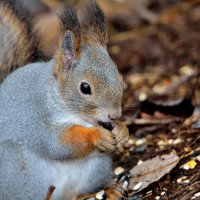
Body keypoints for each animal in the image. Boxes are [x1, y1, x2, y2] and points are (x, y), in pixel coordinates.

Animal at [0, 0, 128, 199]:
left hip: (96, 168)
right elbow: (58, 142)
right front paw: (97, 136)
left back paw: (108, 190)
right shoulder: (37, 118)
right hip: (23, 172)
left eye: (121, 79)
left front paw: (122, 130)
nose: (114, 115)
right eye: (85, 88)